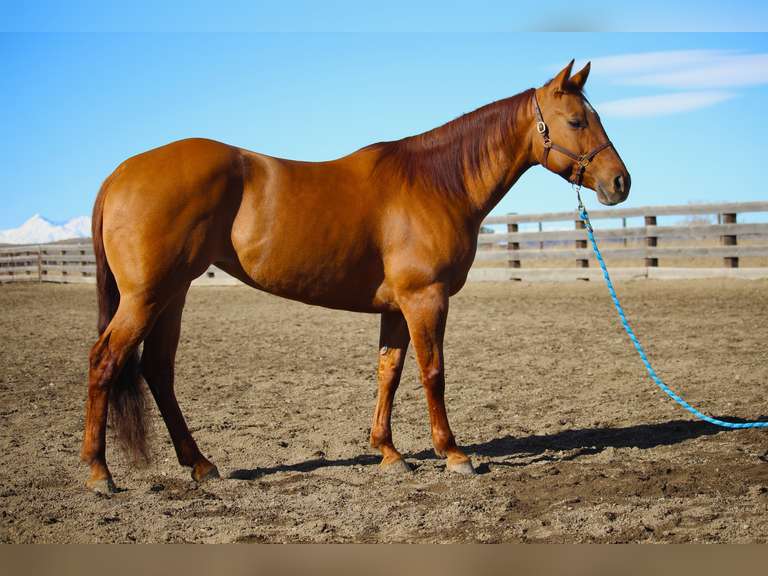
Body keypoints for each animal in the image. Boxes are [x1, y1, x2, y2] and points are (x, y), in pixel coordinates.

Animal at [81, 60, 630, 493]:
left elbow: (389, 373)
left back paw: (199, 464)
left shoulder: (397, 307)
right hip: (146, 297)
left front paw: (388, 453)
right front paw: (453, 454)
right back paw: (99, 473)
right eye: (576, 120)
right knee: (106, 361)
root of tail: (120, 173)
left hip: (172, 295)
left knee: (158, 371)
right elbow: (433, 373)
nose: (620, 182)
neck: (436, 182)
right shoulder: (425, 299)